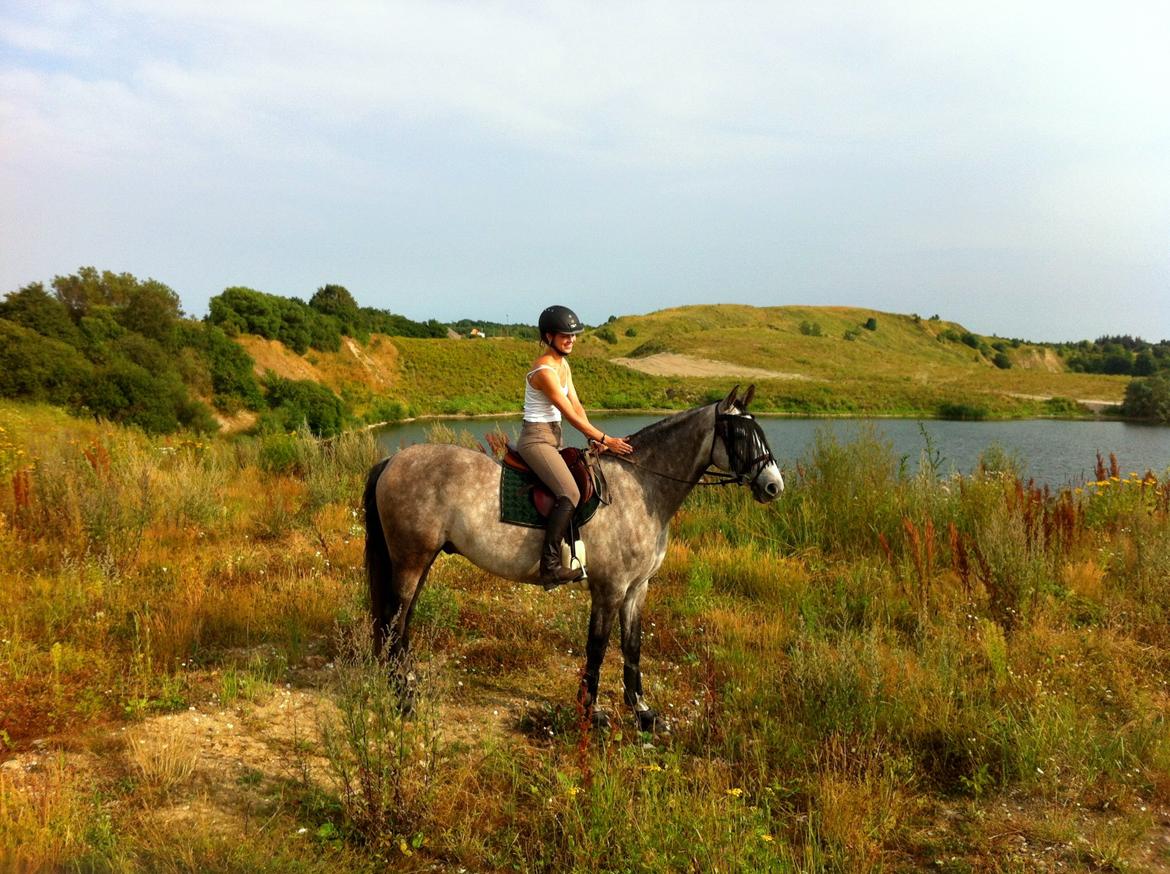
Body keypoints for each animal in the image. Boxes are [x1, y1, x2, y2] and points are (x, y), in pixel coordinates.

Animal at [362, 383, 786, 730]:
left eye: (760, 431)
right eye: (739, 434)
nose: (773, 486)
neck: (640, 486)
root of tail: (392, 461)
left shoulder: (637, 589)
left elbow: (632, 647)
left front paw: (644, 714)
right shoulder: (609, 588)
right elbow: (596, 648)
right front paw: (591, 713)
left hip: (420, 561)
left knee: (401, 622)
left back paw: (406, 685)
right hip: (411, 560)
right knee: (394, 621)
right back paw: (403, 701)